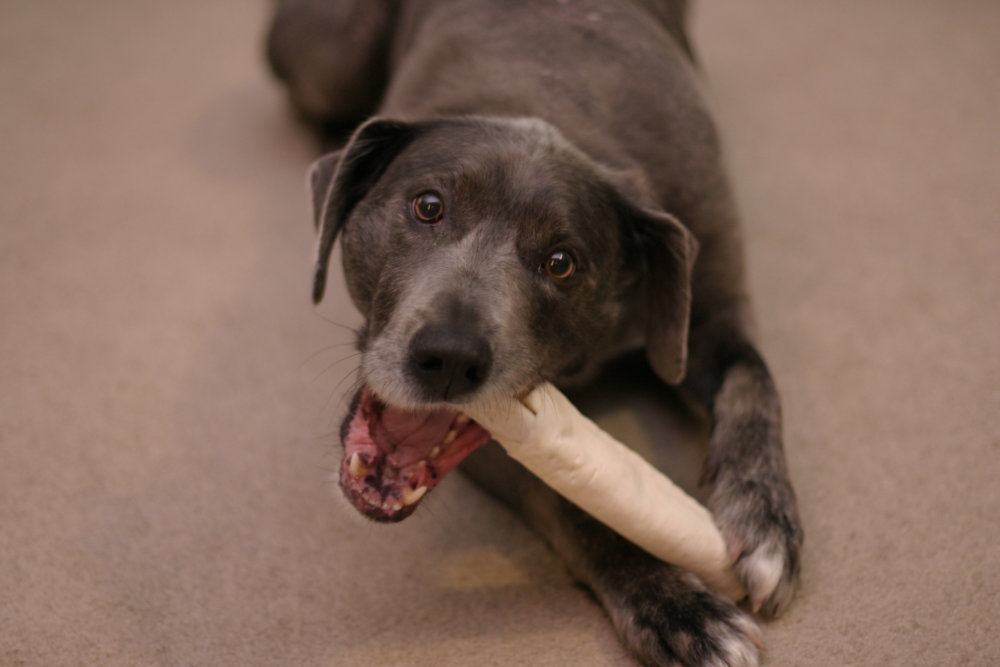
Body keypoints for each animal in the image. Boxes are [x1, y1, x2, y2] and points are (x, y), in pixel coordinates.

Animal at [266, 2, 804, 664]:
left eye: (561, 263)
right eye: (428, 206)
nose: (449, 358)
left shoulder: (712, 313)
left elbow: (753, 380)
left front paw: (765, 515)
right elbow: (574, 504)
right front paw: (676, 604)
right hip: (334, 51)